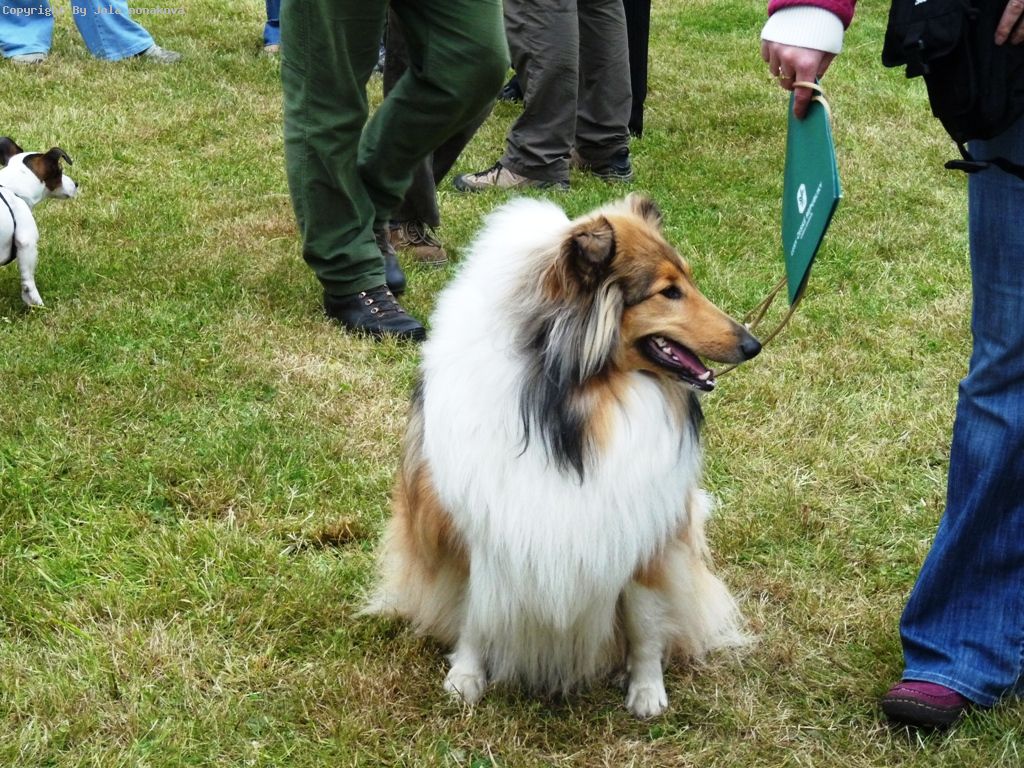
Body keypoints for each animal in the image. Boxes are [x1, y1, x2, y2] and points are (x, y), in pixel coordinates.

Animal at [0, 137, 77, 307]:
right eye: (60, 171)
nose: (76, 184)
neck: (12, 188)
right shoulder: (27, 243)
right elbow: (28, 282)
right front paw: (36, 303)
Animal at [366, 194, 761, 718]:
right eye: (668, 292)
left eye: (689, 282)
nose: (754, 344)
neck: (575, 403)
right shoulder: (471, 526)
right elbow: (474, 611)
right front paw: (465, 677)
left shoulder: (646, 531)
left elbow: (645, 622)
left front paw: (647, 690)